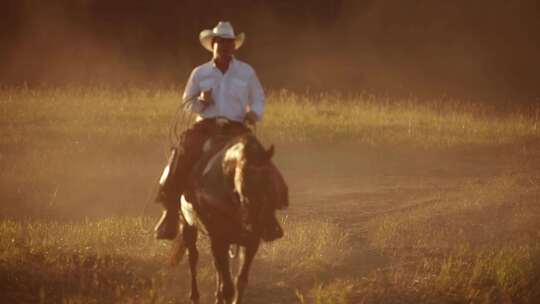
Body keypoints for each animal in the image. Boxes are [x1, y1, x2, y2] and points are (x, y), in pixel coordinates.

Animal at [171, 131, 288, 304]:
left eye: (269, 181)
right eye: (245, 185)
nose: (268, 229)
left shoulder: (250, 241)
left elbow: (240, 281)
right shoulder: (219, 238)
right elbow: (228, 287)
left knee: (218, 268)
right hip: (188, 226)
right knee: (193, 258)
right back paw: (195, 296)